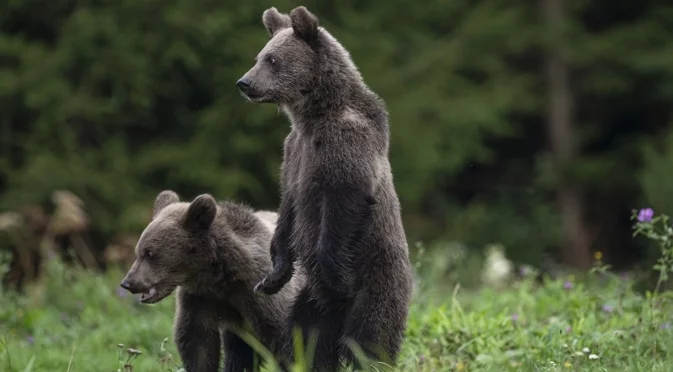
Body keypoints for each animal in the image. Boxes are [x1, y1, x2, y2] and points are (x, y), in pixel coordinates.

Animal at [119, 192, 304, 372]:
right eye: (138, 252)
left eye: (149, 253)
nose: (127, 283)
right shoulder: (200, 299)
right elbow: (197, 343)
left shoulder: (263, 295)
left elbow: (287, 341)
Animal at [236, 5, 414, 372]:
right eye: (260, 56)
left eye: (272, 59)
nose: (244, 83)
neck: (313, 115)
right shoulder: (293, 153)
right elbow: (288, 209)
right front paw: (273, 276)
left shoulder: (344, 147)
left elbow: (343, 204)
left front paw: (335, 275)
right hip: (311, 304)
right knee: (305, 339)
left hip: (378, 280)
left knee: (371, 340)